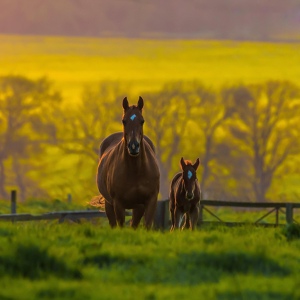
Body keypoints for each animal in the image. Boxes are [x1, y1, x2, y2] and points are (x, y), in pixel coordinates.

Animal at [94, 97, 161, 229]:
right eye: (124, 121)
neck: (136, 171)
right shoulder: (118, 204)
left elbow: (146, 225)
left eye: (142, 121)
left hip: (138, 207)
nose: (133, 146)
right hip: (109, 204)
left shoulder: (150, 201)